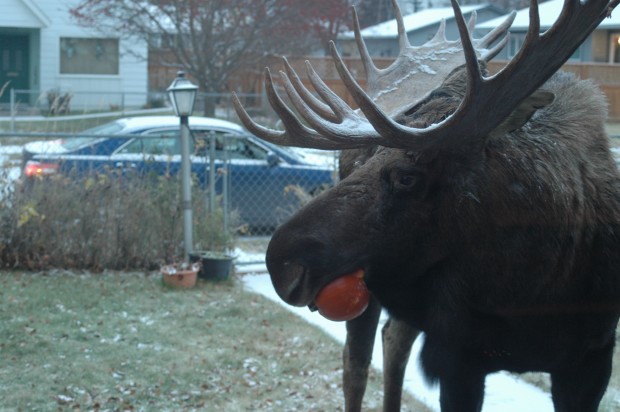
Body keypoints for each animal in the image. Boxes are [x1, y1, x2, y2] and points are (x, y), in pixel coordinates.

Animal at [232, 0, 620, 410]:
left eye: (407, 176)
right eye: (371, 156)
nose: (282, 263)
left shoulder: (592, 358)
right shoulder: (459, 358)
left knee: (393, 339)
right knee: (356, 364)